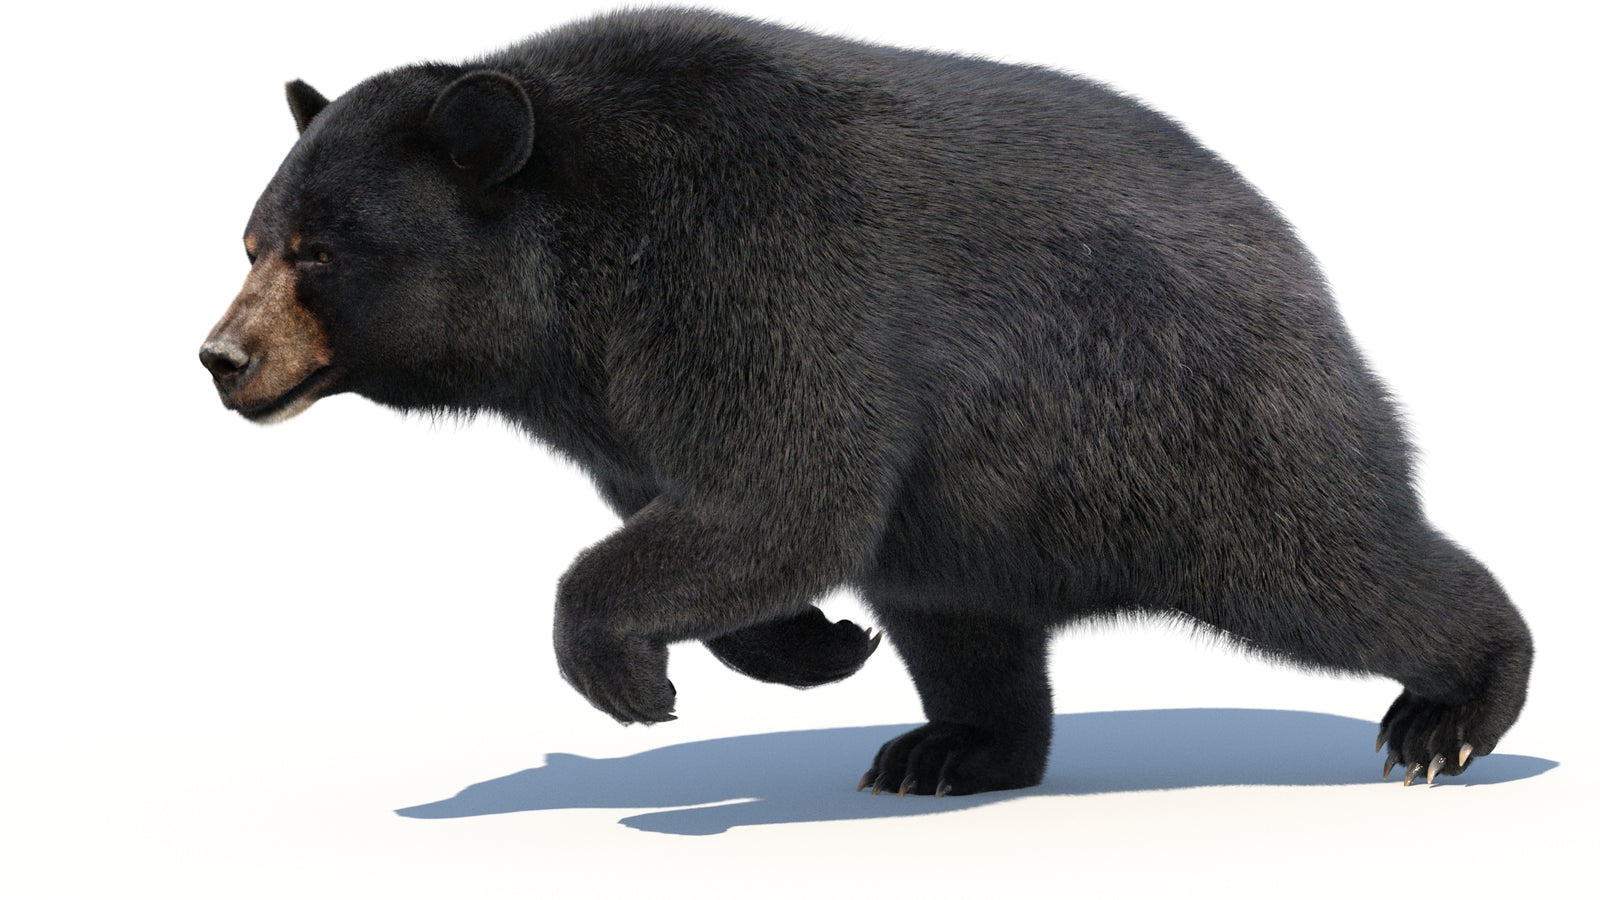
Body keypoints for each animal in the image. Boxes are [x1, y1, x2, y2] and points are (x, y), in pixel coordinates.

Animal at [200, 7, 1532, 796]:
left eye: (320, 251)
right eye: (253, 238)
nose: (222, 358)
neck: (573, 288)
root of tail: (1298, 264)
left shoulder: (744, 272)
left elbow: (790, 491)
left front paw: (625, 675)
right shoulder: (618, 399)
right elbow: (722, 518)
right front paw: (811, 644)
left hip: (1187, 425)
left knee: (1332, 569)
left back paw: (1451, 712)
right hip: (987, 506)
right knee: (962, 621)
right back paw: (953, 747)